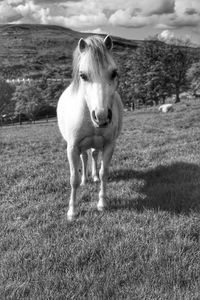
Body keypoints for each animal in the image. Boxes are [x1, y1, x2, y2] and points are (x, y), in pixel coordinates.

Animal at [56, 35, 123, 220]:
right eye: (83, 75)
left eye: (114, 73)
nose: (101, 117)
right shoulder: (72, 148)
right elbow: (73, 178)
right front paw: (72, 212)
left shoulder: (109, 145)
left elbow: (103, 172)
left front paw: (102, 204)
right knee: (85, 158)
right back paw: (85, 180)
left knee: (92, 156)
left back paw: (92, 177)